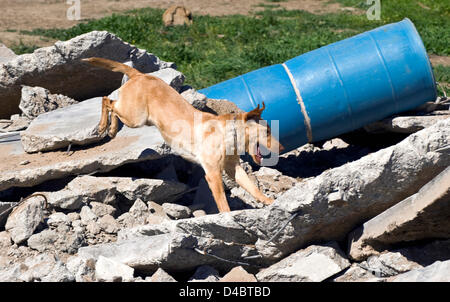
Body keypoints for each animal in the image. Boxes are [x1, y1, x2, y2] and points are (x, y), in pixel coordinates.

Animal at [82, 57, 284, 212]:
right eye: (267, 131)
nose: (281, 148)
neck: (230, 134)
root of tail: (140, 74)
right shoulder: (213, 174)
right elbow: (222, 202)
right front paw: (227, 217)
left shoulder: (233, 168)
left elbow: (252, 188)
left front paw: (270, 202)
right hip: (136, 117)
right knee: (107, 101)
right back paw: (104, 126)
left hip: (137, 117)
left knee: (111, 103)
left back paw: (112, 128)